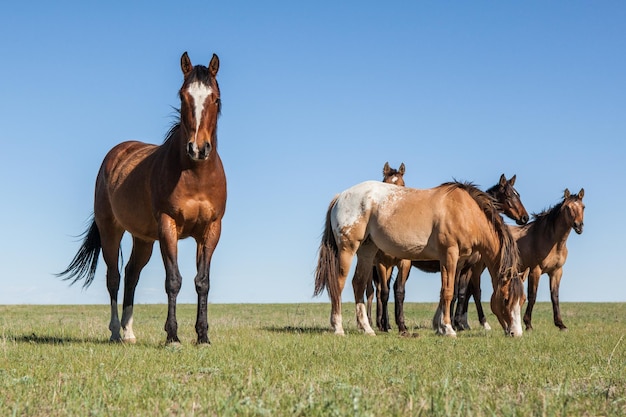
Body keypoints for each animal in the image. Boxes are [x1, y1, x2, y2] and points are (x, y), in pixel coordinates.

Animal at [58, 52, 227, 344]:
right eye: (183, 97)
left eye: (215, 98)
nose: (198, 149)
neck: (195, 175)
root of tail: (117, 153)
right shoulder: (168, 226)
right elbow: (173, 280)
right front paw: (173, 337)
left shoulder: (210, 230)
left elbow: (202, 282)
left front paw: (203, 337)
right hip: (111, 231)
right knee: (114, 278)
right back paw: (116, 331)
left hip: (144, 239)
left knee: (131, 275)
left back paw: (129, 332)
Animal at [314, 180, 524, 336]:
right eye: (506, 299)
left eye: (521, 300)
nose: (516, 333)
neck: (465, 211)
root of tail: (341, 196)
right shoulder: (450, 255)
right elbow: (449, 292)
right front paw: (448, 329)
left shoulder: (456, 262)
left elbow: (447, 292)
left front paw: (440, 326)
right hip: (348, 249)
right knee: (338, 283)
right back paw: (338, 327)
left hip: (367, 251)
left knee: (358, 284)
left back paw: (367, 328)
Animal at [450, 187, 584, 330]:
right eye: (568, 207)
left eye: (583, 207)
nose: (579, 226)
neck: (550, 239)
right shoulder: (535, 270)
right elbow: (532, 296)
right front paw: (528, 324)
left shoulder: (556, 272)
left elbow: (555, 297)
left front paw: (560, 324)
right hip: (477, 266)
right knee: (474, 291)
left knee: (468, 291)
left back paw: (463, 323)